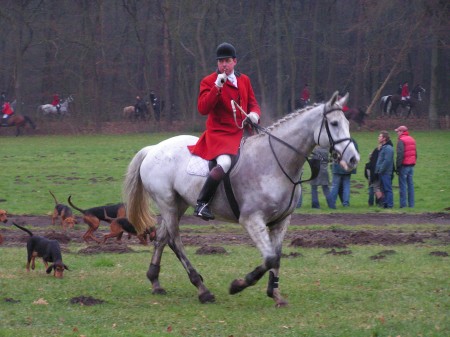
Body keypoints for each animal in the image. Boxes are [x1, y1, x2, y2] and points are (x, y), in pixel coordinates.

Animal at [122, 91, 358, 304]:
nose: (353, 159)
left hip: (179, 204)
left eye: (347, 122)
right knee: (174, 240)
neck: (274, 162)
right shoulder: (252, 220)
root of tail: (154, 148)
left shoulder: (281, 221)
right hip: (168, 203)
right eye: (334, 123)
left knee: (163, 237)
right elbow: (270, 258)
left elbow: (276, 257)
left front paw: (275, 294)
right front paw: (238, 285)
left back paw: (155, 281)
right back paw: (202, 289)